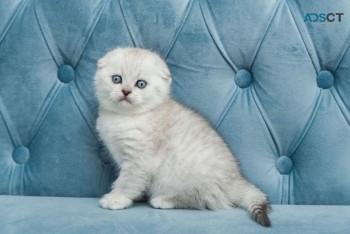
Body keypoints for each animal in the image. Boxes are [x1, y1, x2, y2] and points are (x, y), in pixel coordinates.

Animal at [94, 47, 272, 227]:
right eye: (116, 79)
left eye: (141, 84)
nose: (126, 91)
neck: (126, 117)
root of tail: (236, 179)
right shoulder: (121, 156)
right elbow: (133, 182)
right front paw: (135, 196)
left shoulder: (140, 160)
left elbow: (127, 181)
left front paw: (116, 199)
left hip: (181, 177)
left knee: (203, 200)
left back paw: (164, 200)